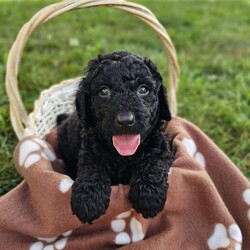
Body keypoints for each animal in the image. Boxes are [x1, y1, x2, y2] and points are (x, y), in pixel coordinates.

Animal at [56, 50, 174, 223]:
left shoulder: (160, 146)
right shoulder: (90, 151)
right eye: (104, 91)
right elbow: (92, 169)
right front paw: (88, 200)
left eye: (143, 89)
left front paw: (149, 196)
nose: (125, 120)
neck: (123, 155)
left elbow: (153, 163)